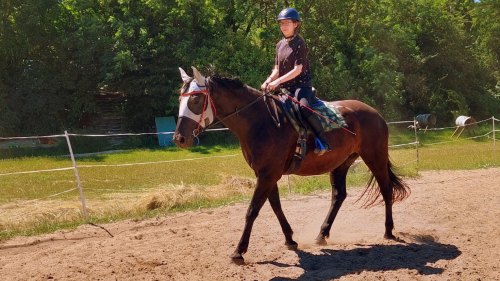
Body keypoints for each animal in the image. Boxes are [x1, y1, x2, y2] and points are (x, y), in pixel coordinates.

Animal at [173, 66, 410, 264]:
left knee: (386, 189)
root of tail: (375, 113)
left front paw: (239, 251)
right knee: (338, 196)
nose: (179, 138)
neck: (260, 121)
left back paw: (388, 231)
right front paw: (290, 240)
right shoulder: (266, 174)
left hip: (375, 158)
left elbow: (252, 210)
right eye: (180, 100)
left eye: (195, 100)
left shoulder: (267, 175)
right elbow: (276, 207)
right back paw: (322, 234)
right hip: (341, 164)